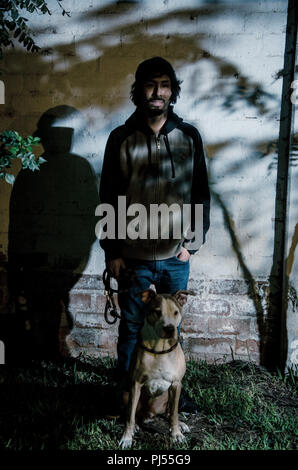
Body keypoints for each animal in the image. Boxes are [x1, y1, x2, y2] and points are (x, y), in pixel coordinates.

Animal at [119, 288, 196, 450]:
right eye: (157, 312)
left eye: (175, 312)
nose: (169, 329)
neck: (160, 349)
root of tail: (150, 414)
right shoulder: (136, 384)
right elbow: (130, 415)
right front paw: (127, 437)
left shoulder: (176, 384)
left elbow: (174, 414)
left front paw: (176, 434)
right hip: (125, 393)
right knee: (131, 413)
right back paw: (136, 425)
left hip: (169, 395)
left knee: (170, 412)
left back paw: (180, 424)